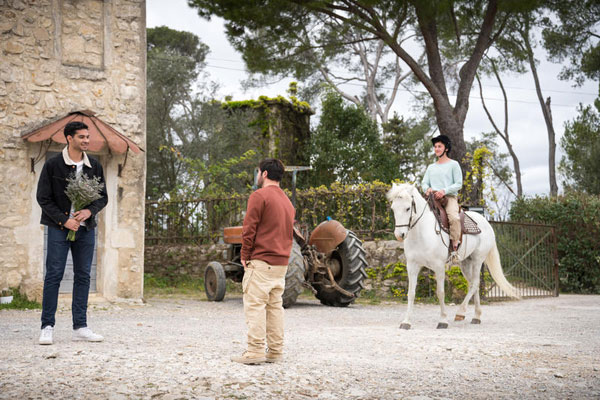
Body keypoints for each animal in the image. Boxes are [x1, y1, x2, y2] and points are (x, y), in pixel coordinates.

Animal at [384, 183, 520, 330]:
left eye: (408, 208)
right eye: (393, 208)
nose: (400, 235)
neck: (421, 232)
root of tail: (486, 222)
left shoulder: (439, 266)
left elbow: (440, 292)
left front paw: (443, 320)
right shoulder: (412, 266)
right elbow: (411, 293)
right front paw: (406, 322)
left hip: (478, 260)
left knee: (475, 284)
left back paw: (460, 313)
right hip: (465, 263)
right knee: (473, 285)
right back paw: (476, 316)